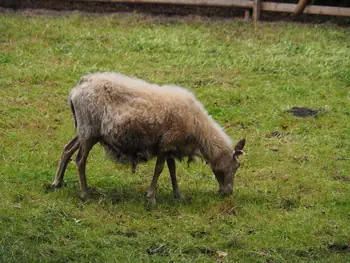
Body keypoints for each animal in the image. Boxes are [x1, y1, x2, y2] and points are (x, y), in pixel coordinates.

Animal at [52, 73, 246, 203]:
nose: (228, 193)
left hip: (84, 129)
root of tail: (78, 88)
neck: (199, 130)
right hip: (89, 130)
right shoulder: (166, 143)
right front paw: (151, 197)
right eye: (236, 166)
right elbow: (159, 169)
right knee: (80, 160)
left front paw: (178, 194)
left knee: (67, 149)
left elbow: (172, 170)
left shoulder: (171, 145)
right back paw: (85, 193)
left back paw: (57, 182)